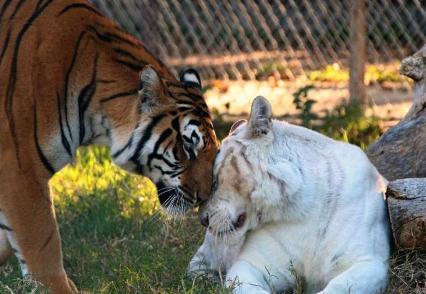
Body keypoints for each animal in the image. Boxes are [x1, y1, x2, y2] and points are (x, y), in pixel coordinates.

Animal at [189, 97, 390, 294]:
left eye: (214, 181)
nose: (203, 220)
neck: (304, 207)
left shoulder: (368, 262)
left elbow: (337, 287)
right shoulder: (252, 264)